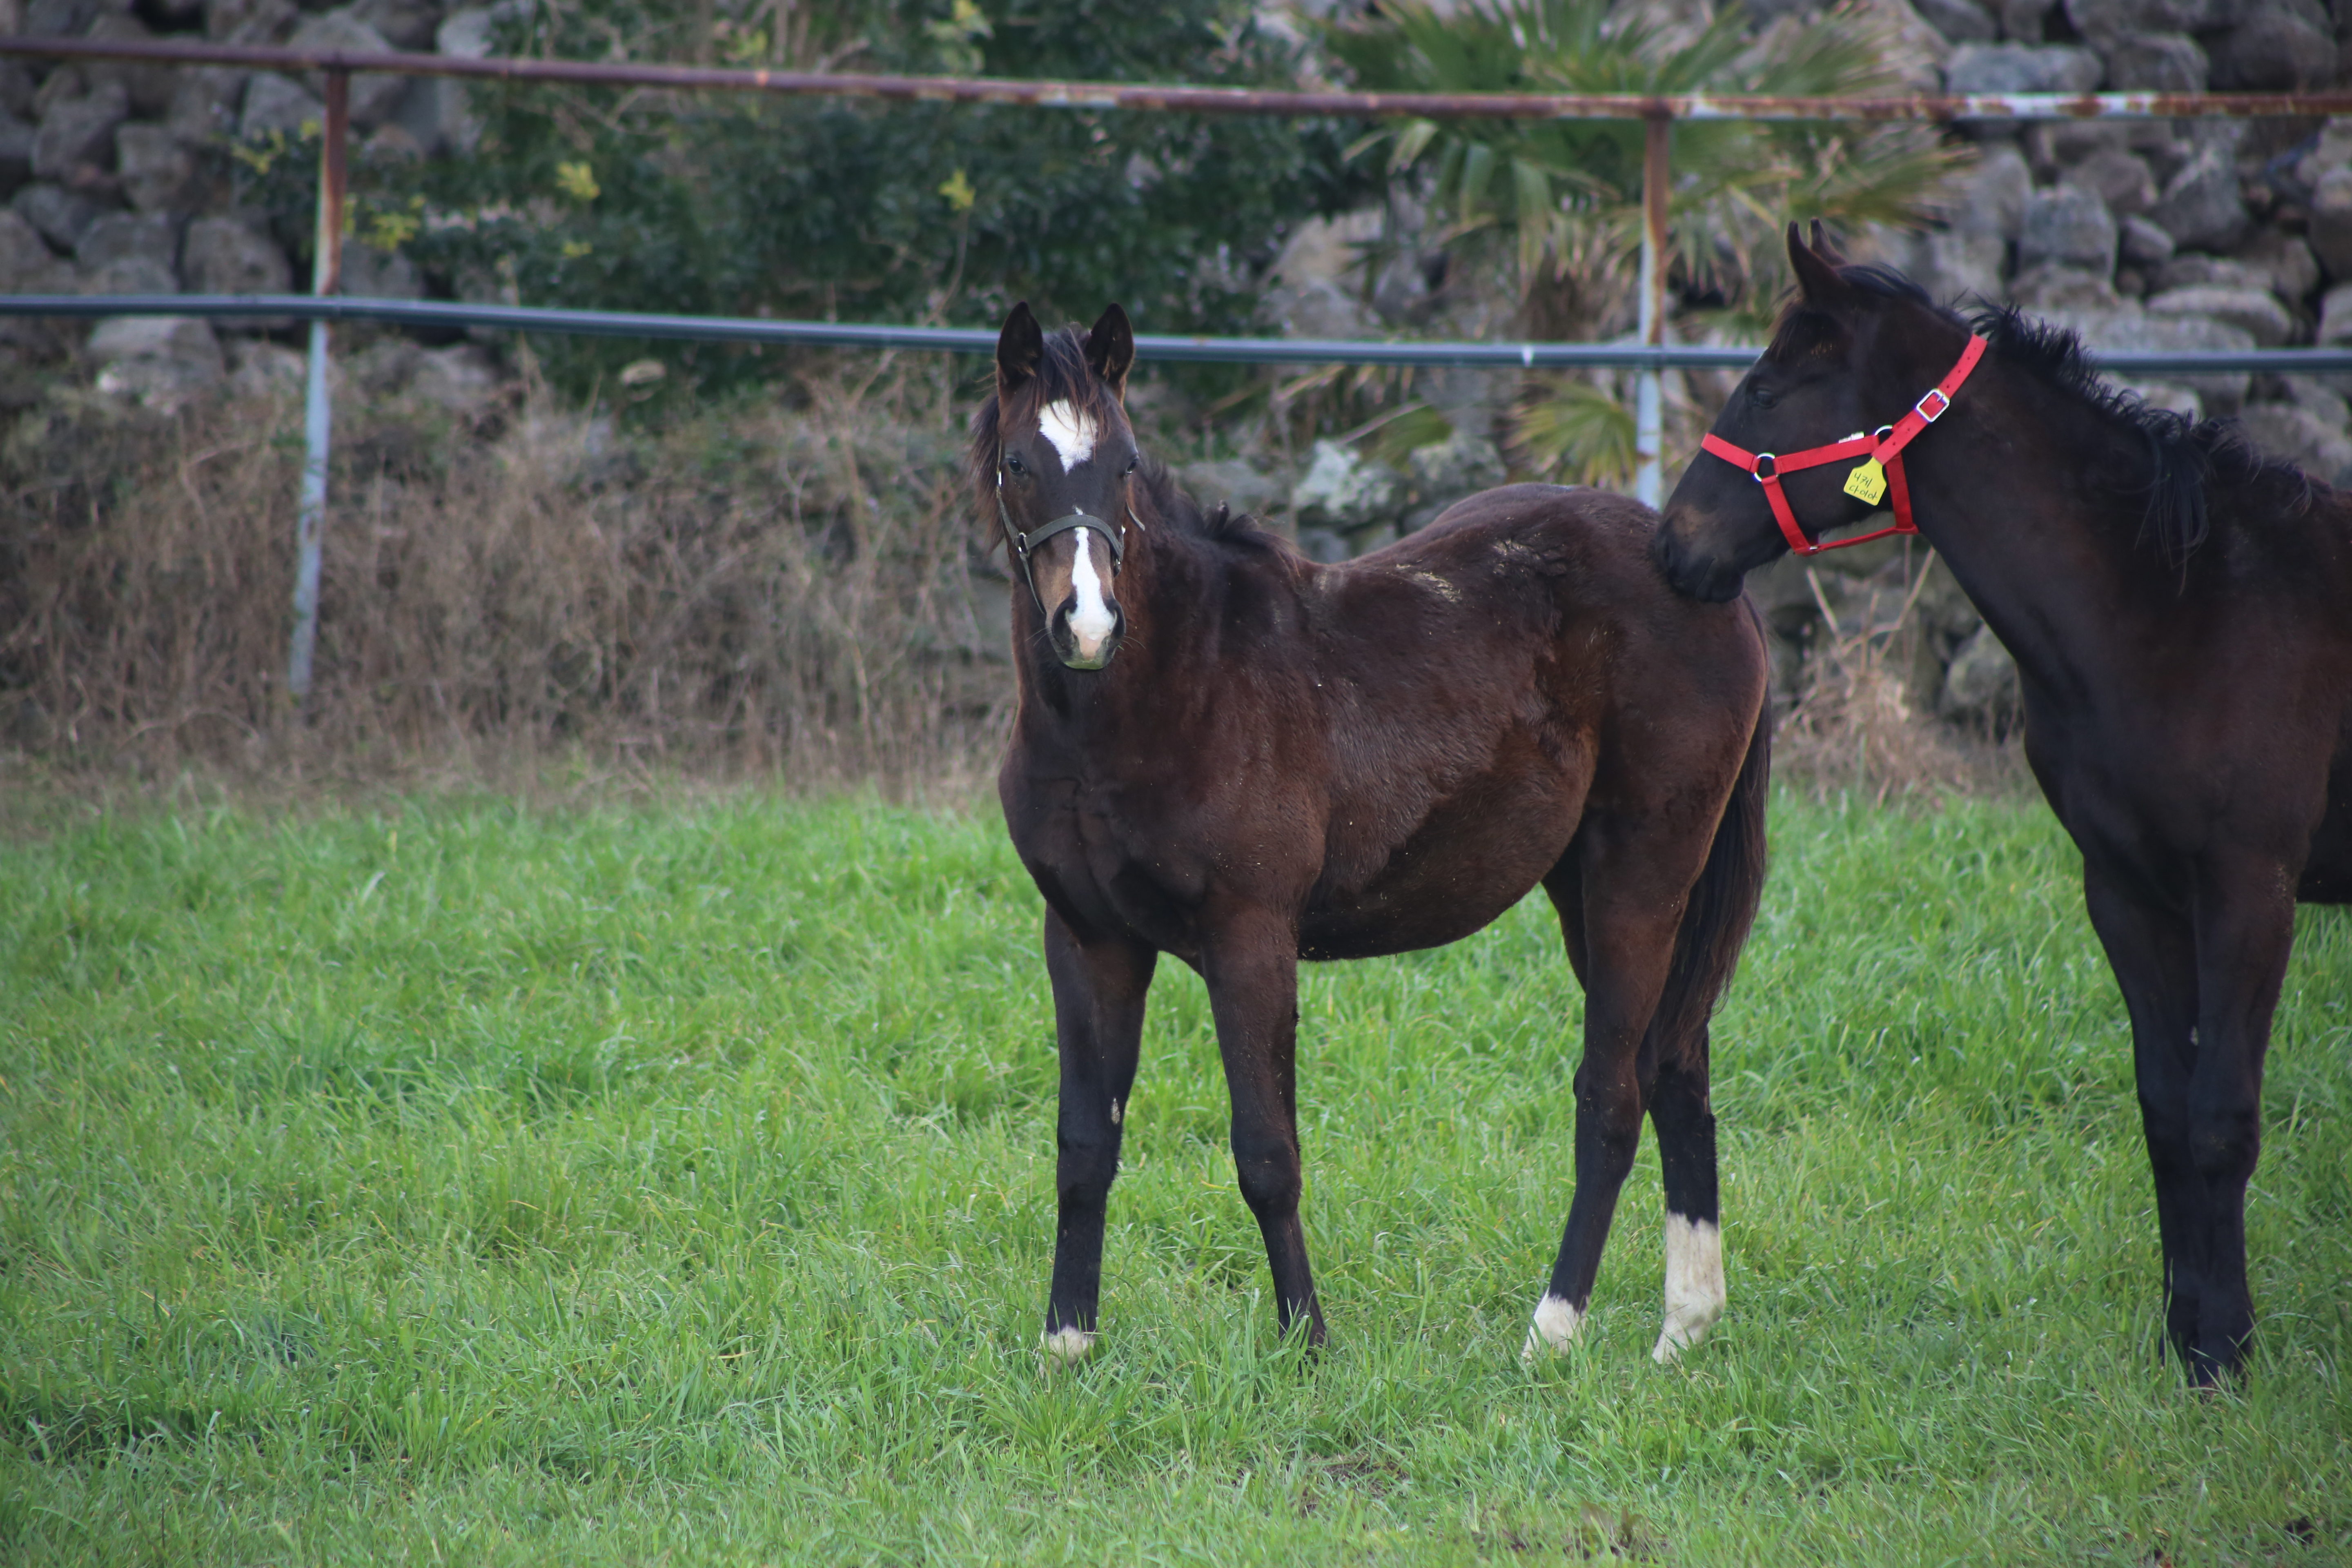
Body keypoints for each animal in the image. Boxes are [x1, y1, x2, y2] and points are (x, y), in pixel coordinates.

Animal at [973, 303, 1768, 1363]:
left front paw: (1305, 1342)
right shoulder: (1087, 939)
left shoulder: (1250, 940)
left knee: (1613, 1095)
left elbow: (1266, 1152)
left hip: (1640, 879)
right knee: (1675, 1064)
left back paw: (1551, 1333)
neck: (1154, 693)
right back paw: (1683, 1328)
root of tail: (1701, 572)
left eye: (1126, 462)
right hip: (1597, 890)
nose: (1089, 624)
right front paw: (1066, 1344)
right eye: (1020, 462)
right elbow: (1082, 1148)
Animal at [1656, 223, 2352, 1382]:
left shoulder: (2248, 890)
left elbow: (2219, 1118)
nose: (1671, 544)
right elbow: (2165, 1110)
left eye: (1764, 386)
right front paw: (2184, 1332)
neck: (2179, 606)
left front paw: (2224, 1352)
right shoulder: (2125, 889)